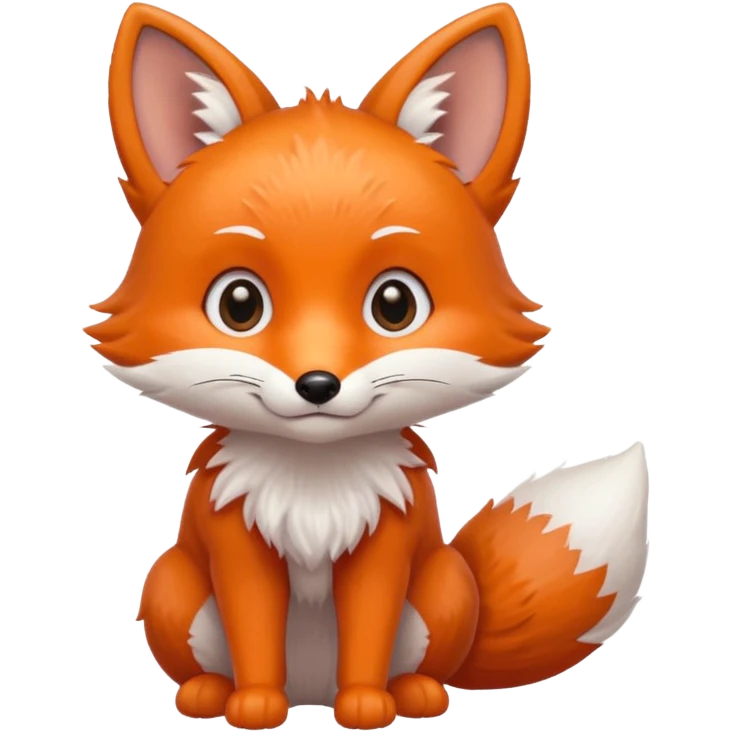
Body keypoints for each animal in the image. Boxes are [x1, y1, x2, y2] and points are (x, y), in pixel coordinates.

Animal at [92, 2, 651, 730]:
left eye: (395, 304)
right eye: (239, 304)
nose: (317, 384)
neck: (315, 485)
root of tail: (311, 690)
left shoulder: (384, 548)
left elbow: (368, 627)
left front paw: (364, 705)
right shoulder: (239, 548)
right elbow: (254, 630)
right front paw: (255, 705)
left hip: (444, 588)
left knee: (420, 661)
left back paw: (412, 692)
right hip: (172, 584)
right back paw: (211, 692)